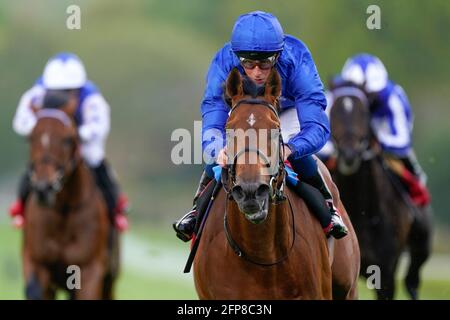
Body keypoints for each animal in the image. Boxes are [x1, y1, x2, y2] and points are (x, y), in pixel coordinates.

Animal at [23, 90, 118, 300]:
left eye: (67, 139)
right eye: (31, 137)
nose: (44, 188)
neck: (64, 210)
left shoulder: (91, 270)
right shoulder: (37, 263)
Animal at [328, 85, 430, 300]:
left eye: (364, 113)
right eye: (332, 111)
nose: (349, 155)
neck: (360, 209)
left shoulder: (385, 271)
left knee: (412, 280)